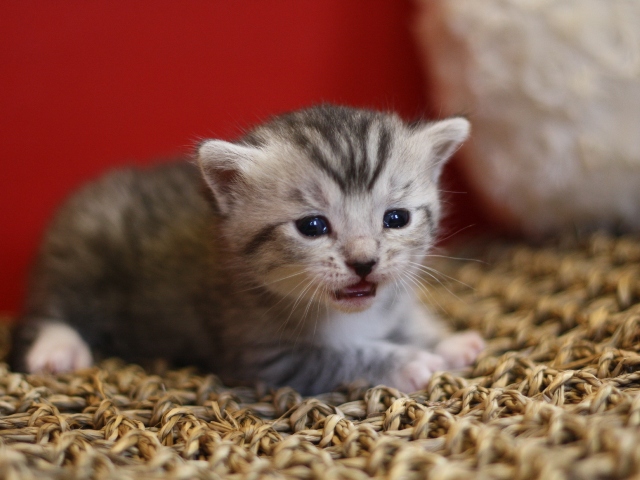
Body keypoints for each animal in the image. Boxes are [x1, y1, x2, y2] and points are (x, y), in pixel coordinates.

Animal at [10, 105, 482, 394]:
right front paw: (408, 362)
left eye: (396, 218)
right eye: (312, 227)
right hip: (81, 246)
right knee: (52, 306)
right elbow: (341, 357)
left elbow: (408, 318)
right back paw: (57, 347)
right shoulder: (264, 356)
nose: (364, 262)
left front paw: (447, 341)